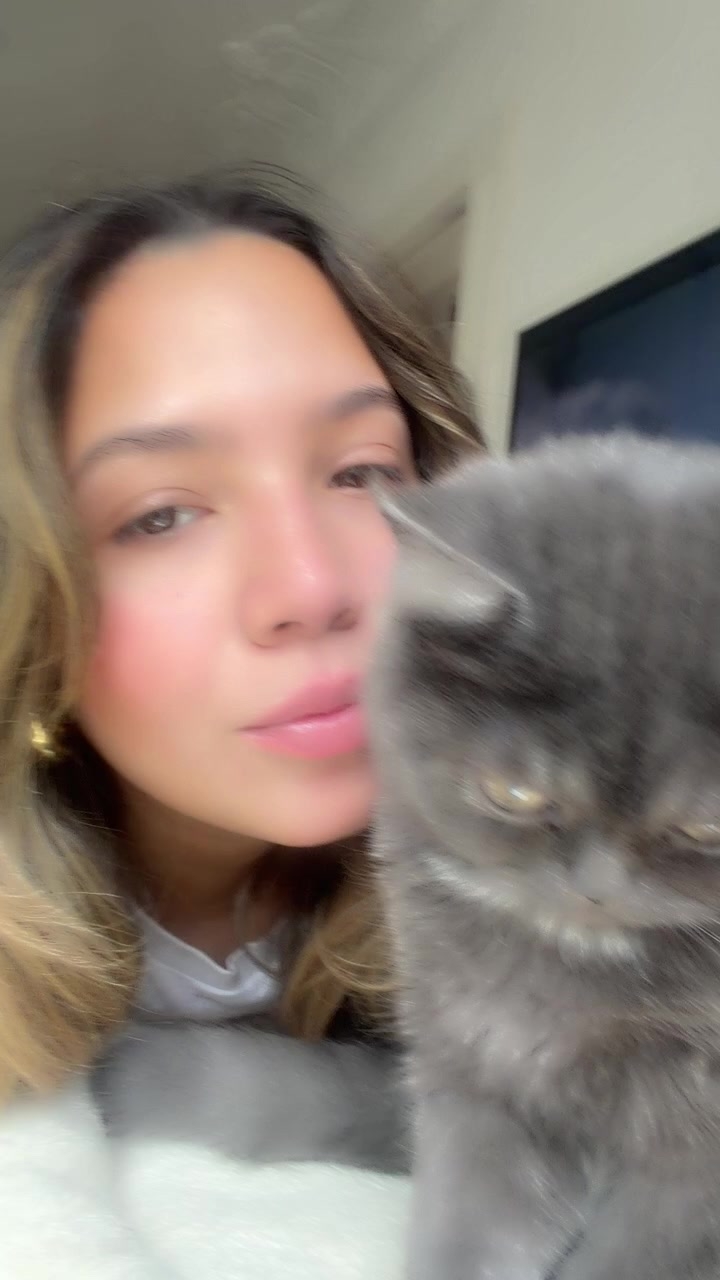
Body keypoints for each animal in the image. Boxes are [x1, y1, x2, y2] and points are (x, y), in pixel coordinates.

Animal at [367, 432, 720, 1280]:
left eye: (704, 829)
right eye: (515, 794)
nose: (597, 887)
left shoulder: (698, 1162)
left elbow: (636, 1255)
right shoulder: (474, 1073)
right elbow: (470, 1224)